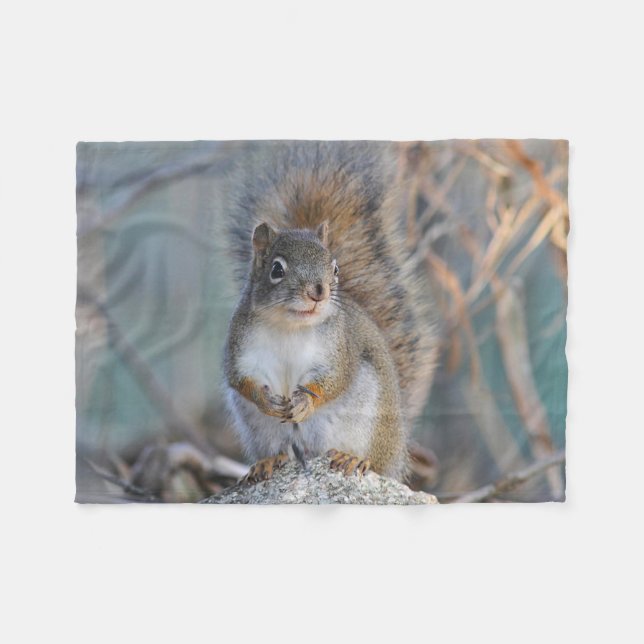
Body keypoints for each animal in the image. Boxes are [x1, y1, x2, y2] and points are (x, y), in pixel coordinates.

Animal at [222, 142, 437, 483]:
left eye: (335, 268)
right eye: (277, 270)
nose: (318, 291)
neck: (291, 326)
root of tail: (397, 453)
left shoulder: (340, 348)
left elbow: (336, 379)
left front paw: (305, 402)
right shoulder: (240, 347)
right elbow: (240, 380)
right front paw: (264, 399)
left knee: (369, 459)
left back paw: (353, 458)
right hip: (262, 430)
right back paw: (268, 462)